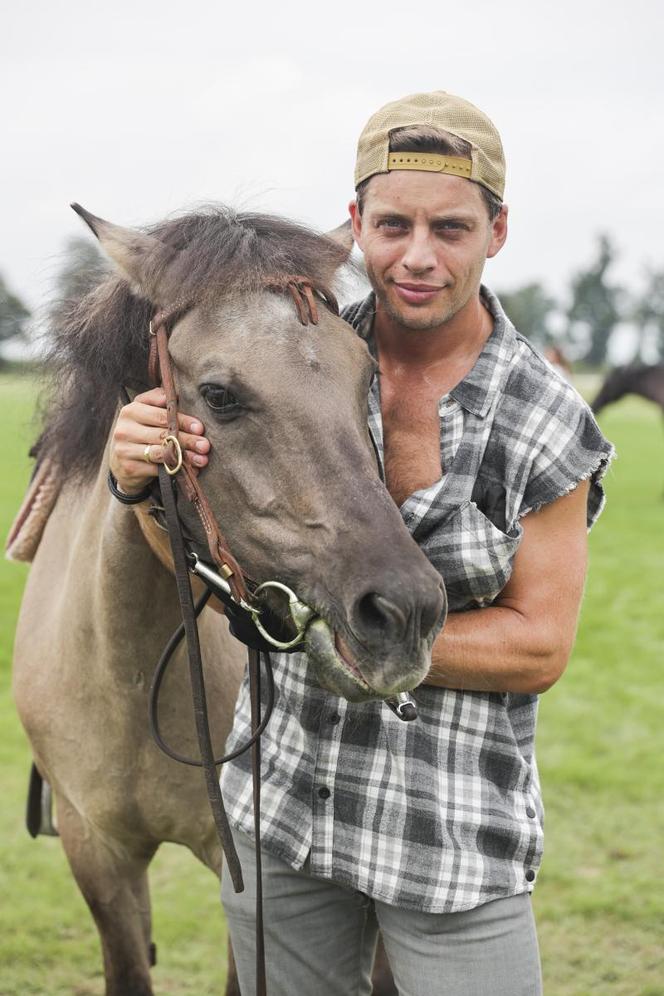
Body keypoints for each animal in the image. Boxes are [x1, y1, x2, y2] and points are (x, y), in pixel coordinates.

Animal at [11, 204, 446, 996]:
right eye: (219, 395)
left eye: (367, 375)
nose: (405, 611)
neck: (126, 670)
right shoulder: (97, 852)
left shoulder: (244, 868)